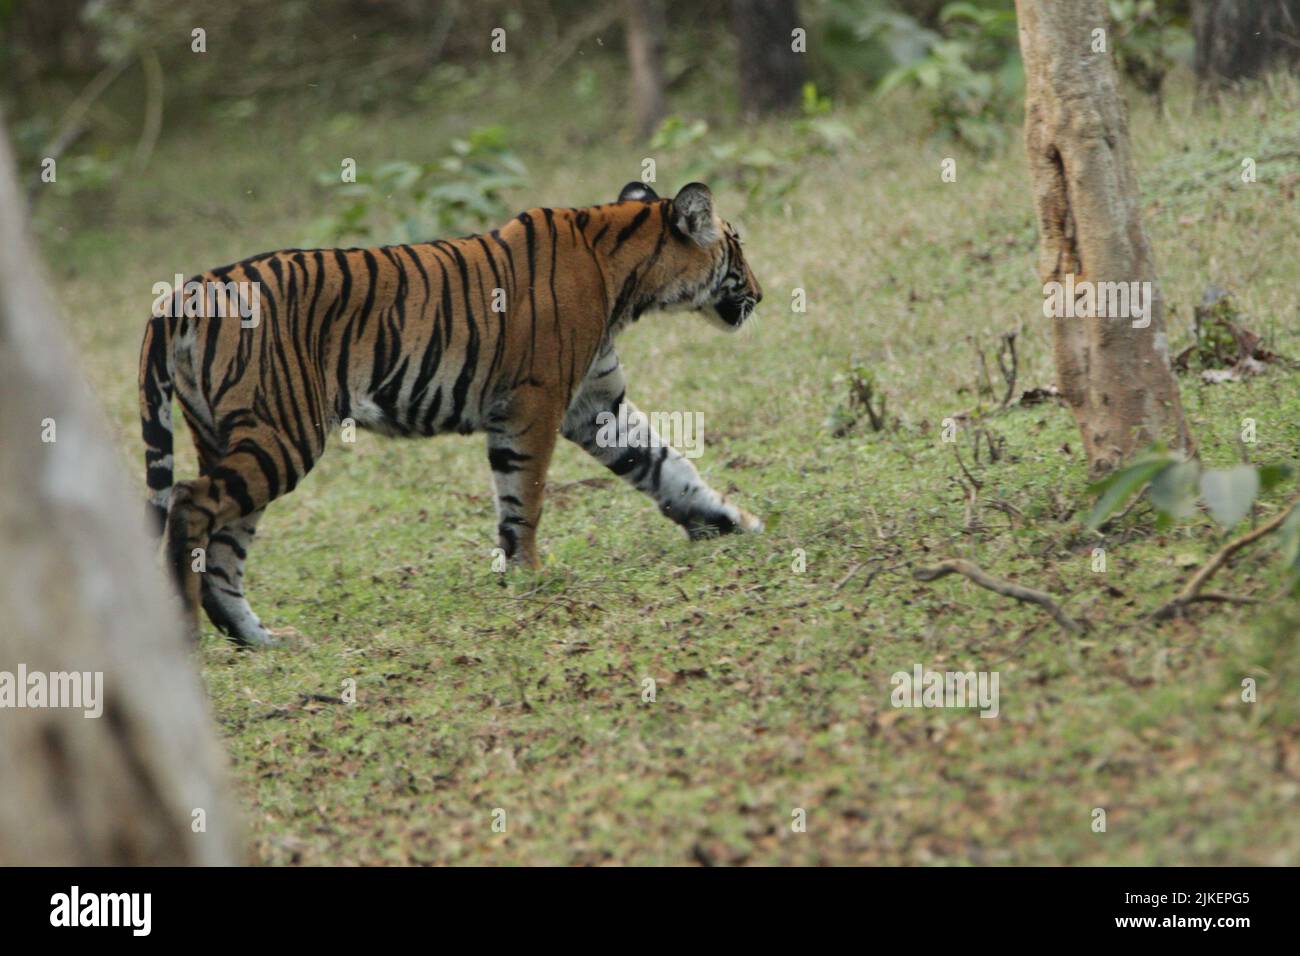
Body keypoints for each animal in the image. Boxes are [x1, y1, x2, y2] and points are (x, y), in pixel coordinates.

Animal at [144, 180, 759, 647]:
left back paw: (265, 641)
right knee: (190, 503)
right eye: (738, 249)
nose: (761, 292)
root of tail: (189, 289)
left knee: (222, 553)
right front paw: (529, 575)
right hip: (283, 433)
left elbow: (667, 467)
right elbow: (526, 496)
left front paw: (732, 522)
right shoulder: (535, 403)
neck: (625, 278)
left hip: (232, 439)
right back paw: (189, 636)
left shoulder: (597, 405)